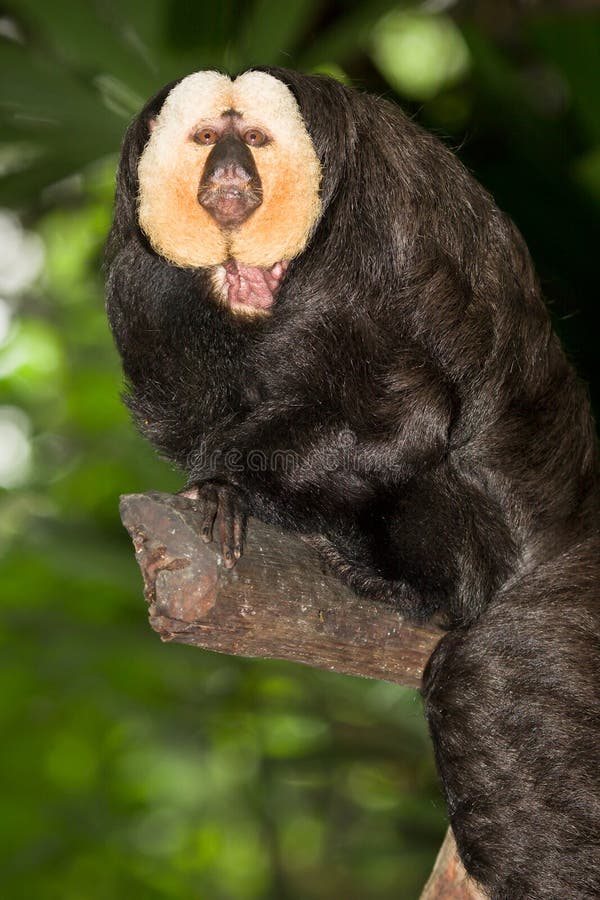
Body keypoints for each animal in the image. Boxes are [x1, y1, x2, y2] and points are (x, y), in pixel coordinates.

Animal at [105, 68, 600, 899]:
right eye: (207, 139)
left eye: (256, 140)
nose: (232, 180)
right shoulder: (142, 291)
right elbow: (185, 413)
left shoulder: (358, 248)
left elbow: (404, 416)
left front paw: (230, 485)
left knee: (485, 671)